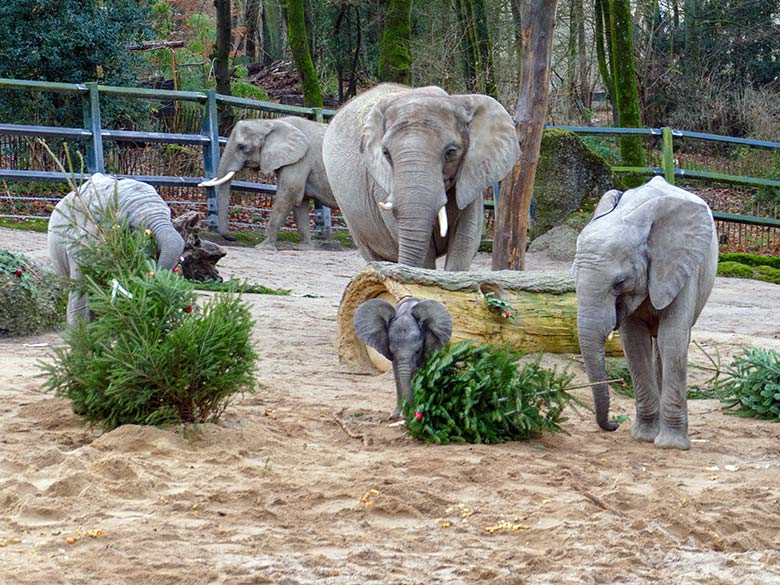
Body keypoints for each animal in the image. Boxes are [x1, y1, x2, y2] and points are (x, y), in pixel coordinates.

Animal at [198, 117, 336, 248]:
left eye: (242, 147)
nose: (233, 238)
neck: (272, 122)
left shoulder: (301, 159)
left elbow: (289, 194)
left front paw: (263, 246)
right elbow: (300, 200)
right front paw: (305, 247)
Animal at [572, 176, 720, 450]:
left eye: (619, 282)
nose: (613, 424)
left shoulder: (680, 267)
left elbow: (672, 338)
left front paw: (670, 446)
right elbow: (634, 342)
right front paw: (644, 437)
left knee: (665, 344)